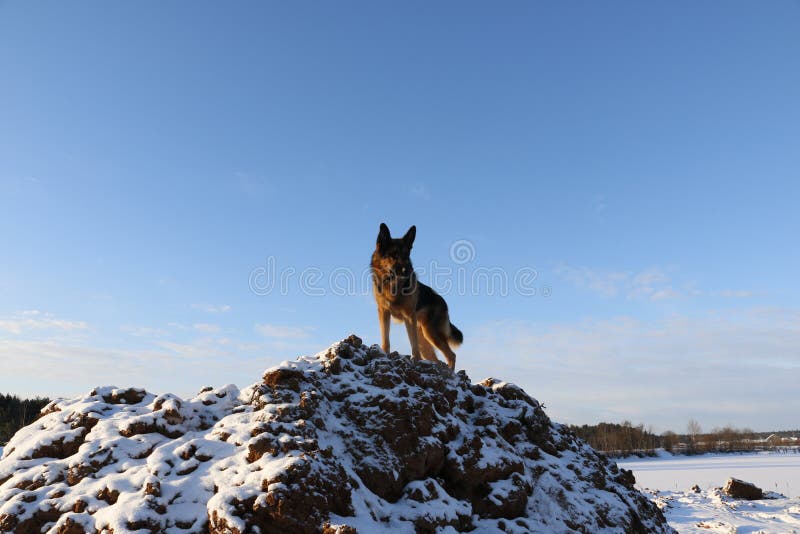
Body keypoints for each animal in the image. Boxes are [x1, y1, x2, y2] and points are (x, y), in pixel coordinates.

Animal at [370, 224, 462, 370]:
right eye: (393, 255)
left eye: (407, 255)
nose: (407, 270)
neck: (393, 286)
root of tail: (443, 302)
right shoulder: (383, 312)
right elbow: (386, 339)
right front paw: (384, 353)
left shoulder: (408, 316)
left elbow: (412, 343)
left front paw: (416, 360)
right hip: (425, 338)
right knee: (437, 359)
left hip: (431, 333)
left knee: (451, 355)